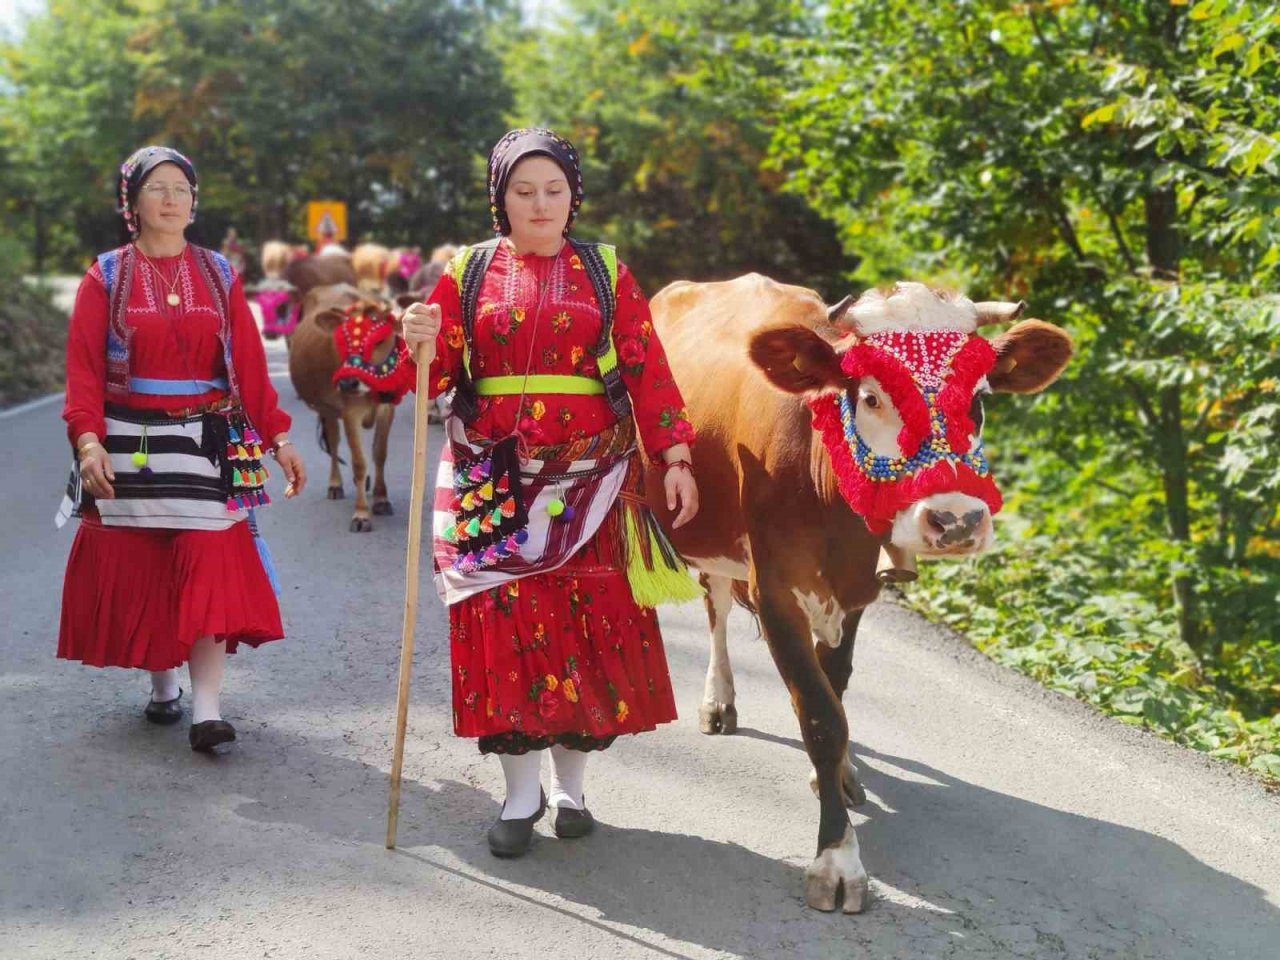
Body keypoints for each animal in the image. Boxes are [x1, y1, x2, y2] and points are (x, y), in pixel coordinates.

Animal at [288, 281, 412, 537]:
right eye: (342, 340)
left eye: (379, 340)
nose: (347, 383)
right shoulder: (349, 413)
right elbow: (359, 462)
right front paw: (361, 514)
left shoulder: (387, 408)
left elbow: (379, 454)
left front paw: (381, 499)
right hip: (325, 409)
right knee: (334, 442)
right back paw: (335, 485)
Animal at [650, 276, 1070, 916]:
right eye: (871, 397)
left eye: (977, 399)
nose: (956, 520)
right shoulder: (776, 591)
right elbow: (821, 717)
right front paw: (838, 860)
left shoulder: (855, 593)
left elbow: (838, 689)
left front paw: (839, 777)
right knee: (716, 605)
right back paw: (718, 700)